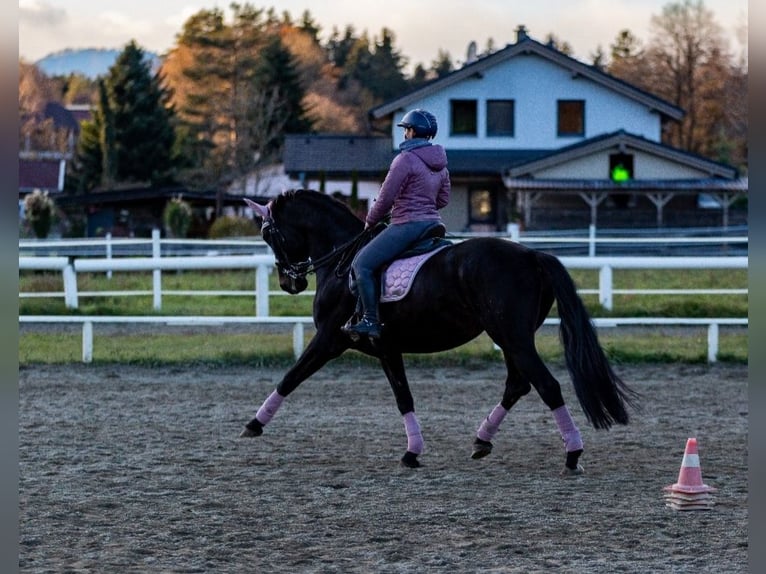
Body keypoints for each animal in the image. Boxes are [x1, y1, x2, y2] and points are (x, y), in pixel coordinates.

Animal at [243, 191, 640, 474]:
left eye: (268, 234)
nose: (289, 283)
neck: (343, 261)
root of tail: (531, 256)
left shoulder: (330, 339)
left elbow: (292, 376)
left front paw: (253, 424)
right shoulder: (387, 348)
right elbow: (404, 397)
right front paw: (412, 452)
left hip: (512, 336)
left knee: (546, 386)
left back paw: (572, 454)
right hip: (510, 338)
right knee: (518, 384)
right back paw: (482, 440)